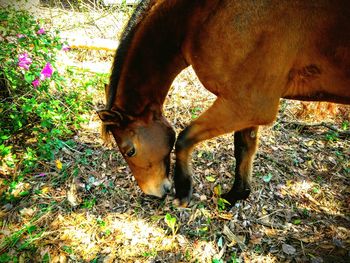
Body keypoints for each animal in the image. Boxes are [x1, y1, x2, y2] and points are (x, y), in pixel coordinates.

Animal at [98, 0, 350, 208]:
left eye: (130, 151)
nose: (153, 192)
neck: (201, 14)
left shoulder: (246, 105)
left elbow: (184, 139)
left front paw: (184, 192)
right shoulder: (245, 110)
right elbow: (243, 148)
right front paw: (237, 194)